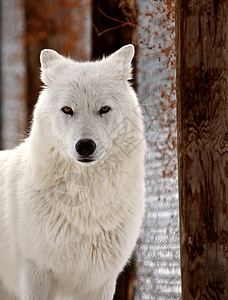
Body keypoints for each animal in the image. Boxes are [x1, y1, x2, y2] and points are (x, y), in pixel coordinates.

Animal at [0, 45, 145, 300]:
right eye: (67, 110)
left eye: (104, 109)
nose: (85, 146)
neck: (87, 206)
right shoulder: (36, 273)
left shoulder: (101, 282)